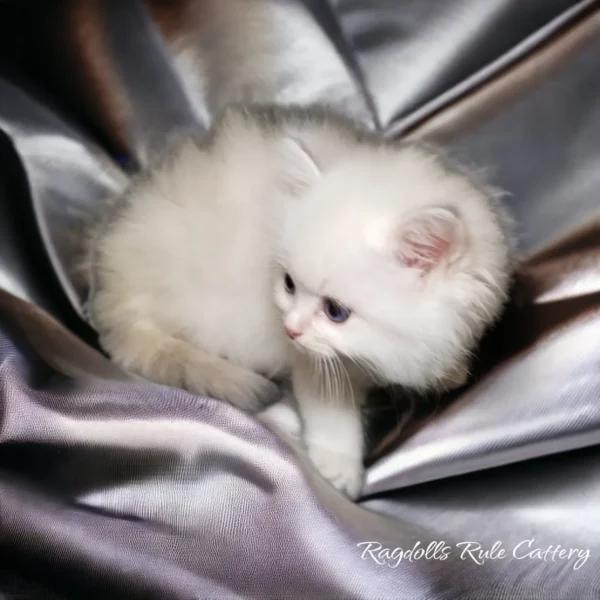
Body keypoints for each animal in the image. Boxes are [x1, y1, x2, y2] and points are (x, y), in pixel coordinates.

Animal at [88, 105, 510, 500]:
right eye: (289, 284)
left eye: (335, 311)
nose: (290, 328)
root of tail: (111, 287)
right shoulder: (314, 362)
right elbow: (332, 415)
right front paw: (339, 470)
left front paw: (451, 371)